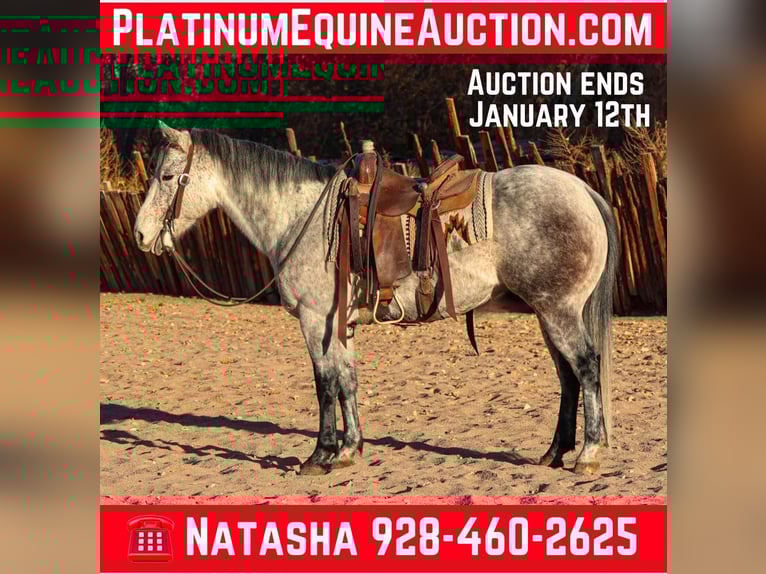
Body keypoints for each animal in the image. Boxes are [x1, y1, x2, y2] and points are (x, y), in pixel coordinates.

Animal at [133, 122, 618, 475]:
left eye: (168, 177)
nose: (140, 234)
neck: (302, 217)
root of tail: (584, 191)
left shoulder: (315, 320)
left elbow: (325, 384)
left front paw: (320, 455)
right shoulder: (338, 324)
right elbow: (348, 381)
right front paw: (350, 449)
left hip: (558, 311)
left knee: (586, 368)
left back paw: (588, 455)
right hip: (547, 313)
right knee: (568, 378)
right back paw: (555, 452)